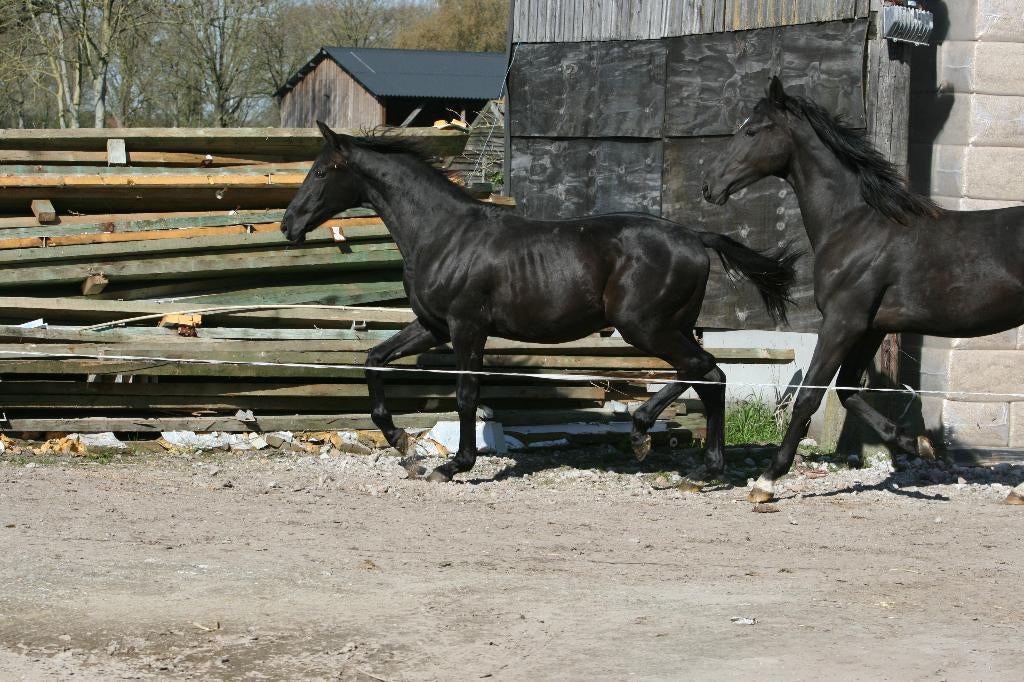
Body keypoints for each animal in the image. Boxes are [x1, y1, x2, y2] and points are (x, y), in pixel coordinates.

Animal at [281, 121, 799, 484]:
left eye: (322, 171)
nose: (289, 224)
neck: (443, 233)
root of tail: (695, 236)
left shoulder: (467, 327)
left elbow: (467, 394)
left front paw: (453, 465)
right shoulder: (433, 325)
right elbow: (374, 359)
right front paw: (402, 443)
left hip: (646, 327)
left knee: (705, 370)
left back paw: (643, 435)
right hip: (672, 327)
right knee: (710, 377)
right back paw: (704, 467)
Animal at [702, 76, 1024, 505]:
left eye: (752, 130)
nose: (710, 185)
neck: (855, 225)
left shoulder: (843, 322)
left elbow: (810, 395)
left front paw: (766, 482)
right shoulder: (871, 327)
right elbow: (847, 389)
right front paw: (915, 443)